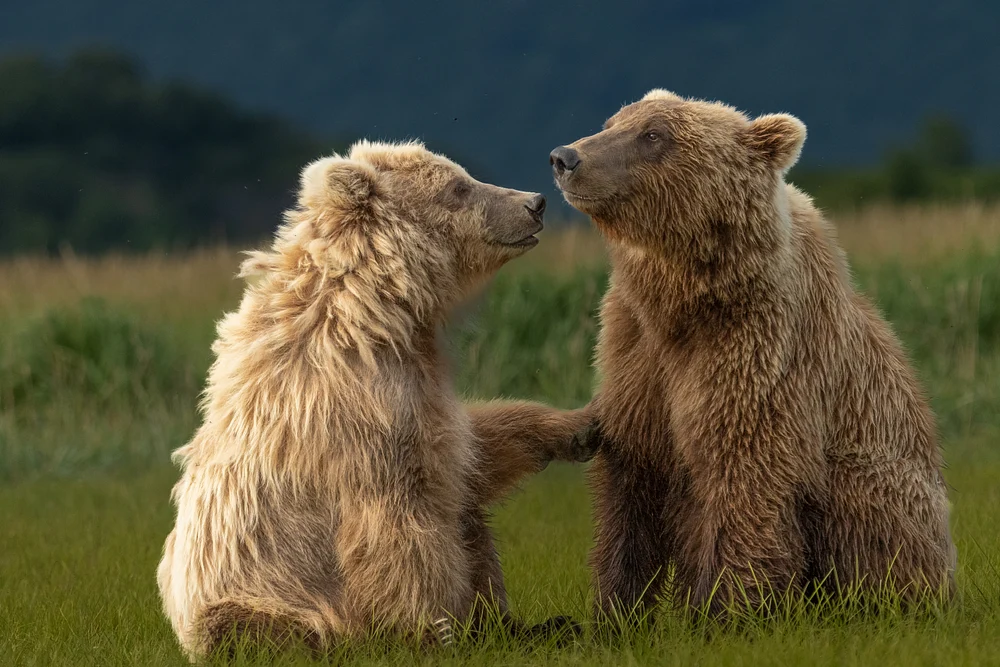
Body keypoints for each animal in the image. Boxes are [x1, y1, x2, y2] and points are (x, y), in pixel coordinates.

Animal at [157, 140, 595, 660]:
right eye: (459, 187)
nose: (535, 202)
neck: (382, 314)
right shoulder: (357, 415)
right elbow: (398, 533)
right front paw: (434, 632)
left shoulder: (420, 394)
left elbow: (470, 455)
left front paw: (579, 426)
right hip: (253, 599)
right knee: (256, 629)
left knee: (473, 530)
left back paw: (536, 626)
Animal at [549, 90, 956, 620]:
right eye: (613, 122)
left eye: (653, 135)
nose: (565, 157)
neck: (686, 301)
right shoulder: (635, 353)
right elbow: (631, 480)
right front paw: (616, 608)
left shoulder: (759, 349)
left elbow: (744, 473)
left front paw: (726, 609)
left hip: (888, 485)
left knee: (868, 510)